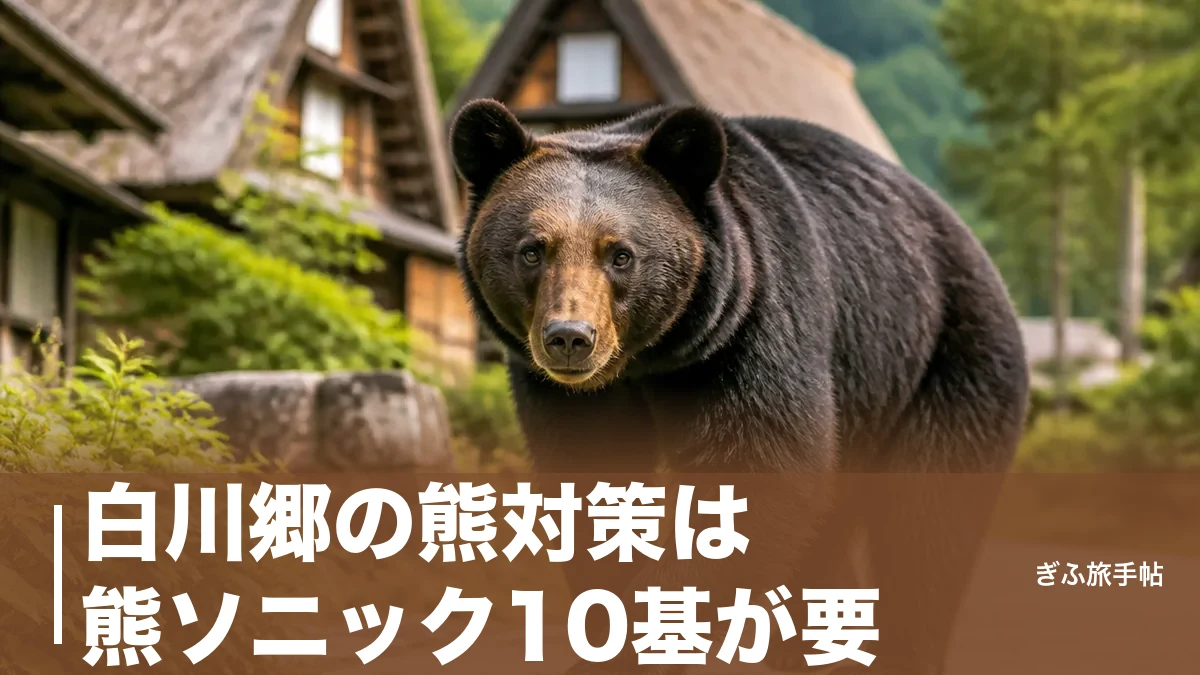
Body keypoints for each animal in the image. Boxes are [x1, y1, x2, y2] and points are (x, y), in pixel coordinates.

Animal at [449, 99, 1029, 674]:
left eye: (620, 254)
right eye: (532, 250)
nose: (570, 338)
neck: (650, 359)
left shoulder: (751, 330)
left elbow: (759, 471)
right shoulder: (571, 399)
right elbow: (593, 485)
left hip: (944, 368)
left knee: (926, 534)